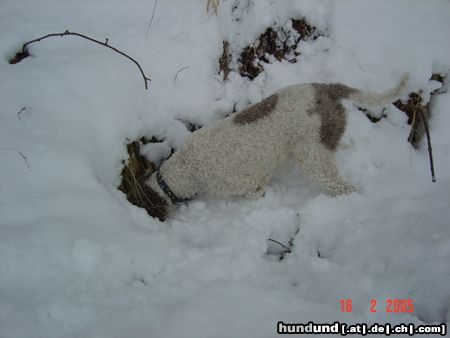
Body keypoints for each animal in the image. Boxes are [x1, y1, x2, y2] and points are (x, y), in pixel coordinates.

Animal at [143, 75, 408, 220]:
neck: (188, 167)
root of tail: (326, 88)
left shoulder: (252, 185)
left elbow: (256, 192)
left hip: (314, 160)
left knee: (345, 187)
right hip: (321, 143)